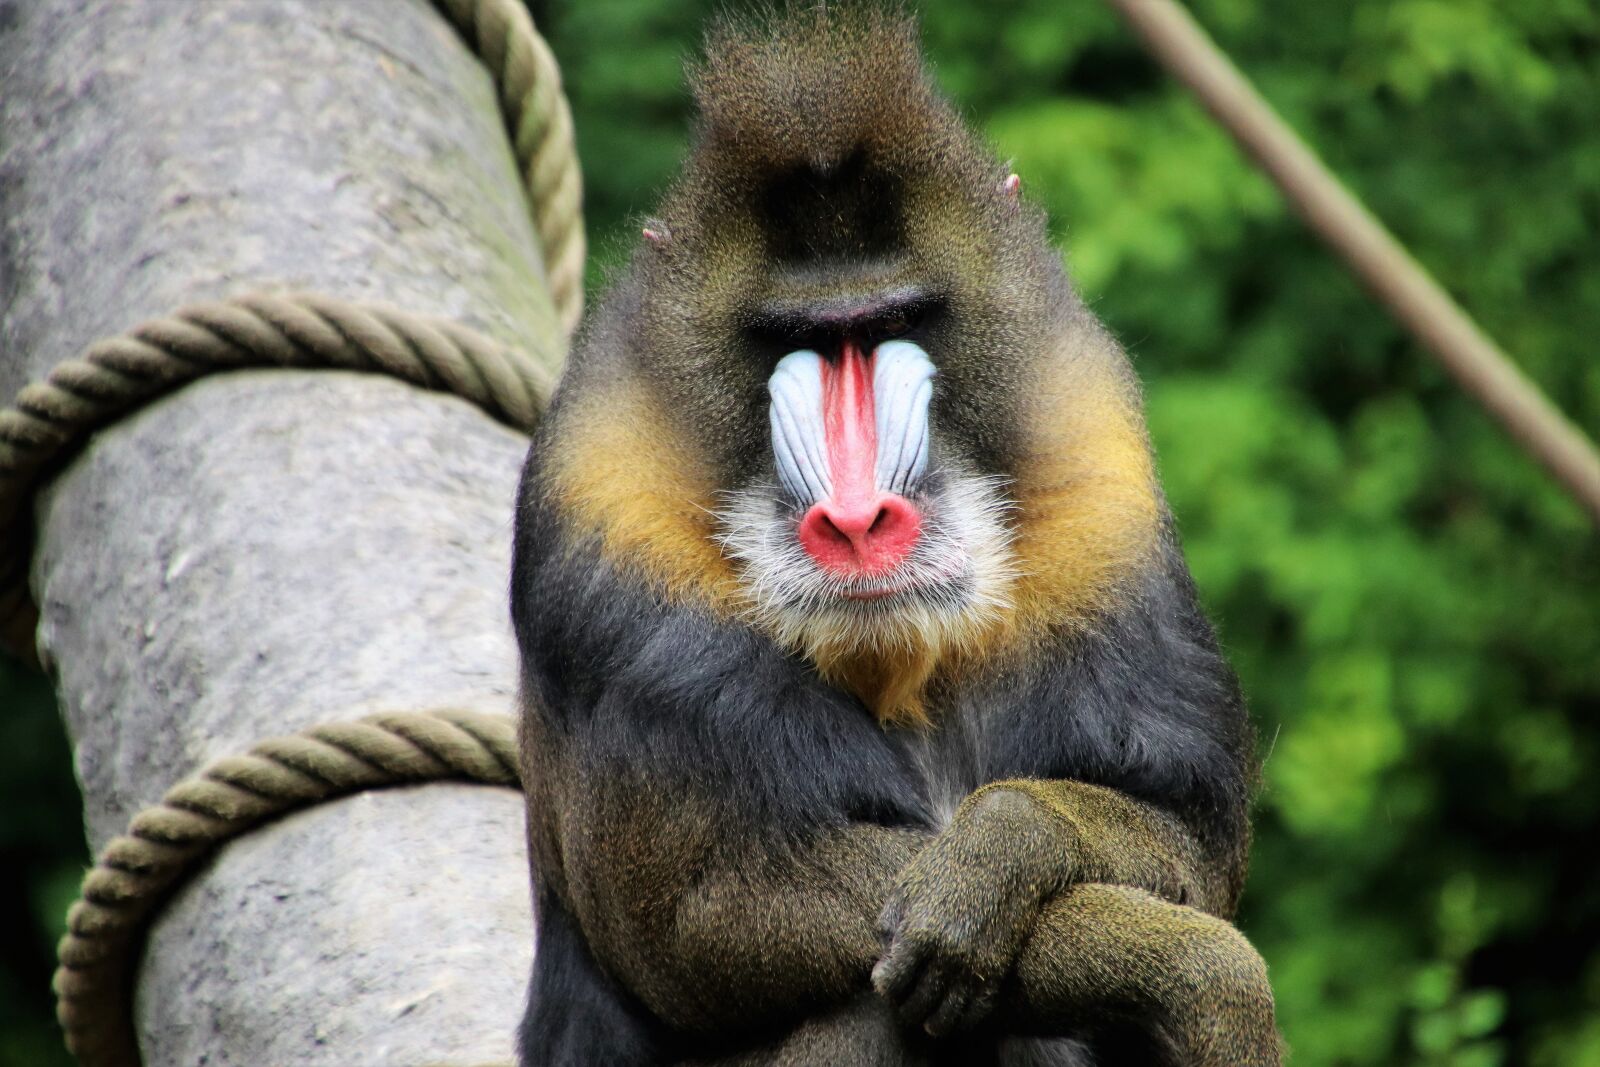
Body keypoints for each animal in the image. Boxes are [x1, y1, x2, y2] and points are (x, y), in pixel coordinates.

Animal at [510, 8, 1278, 1066]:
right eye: (790, 339)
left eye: (894, 322)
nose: (858, 521)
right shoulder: (608, 537)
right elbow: (718, 910)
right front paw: (1185, 969)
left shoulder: (1100, 496)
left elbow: (1187, 834)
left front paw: (1001, 848)